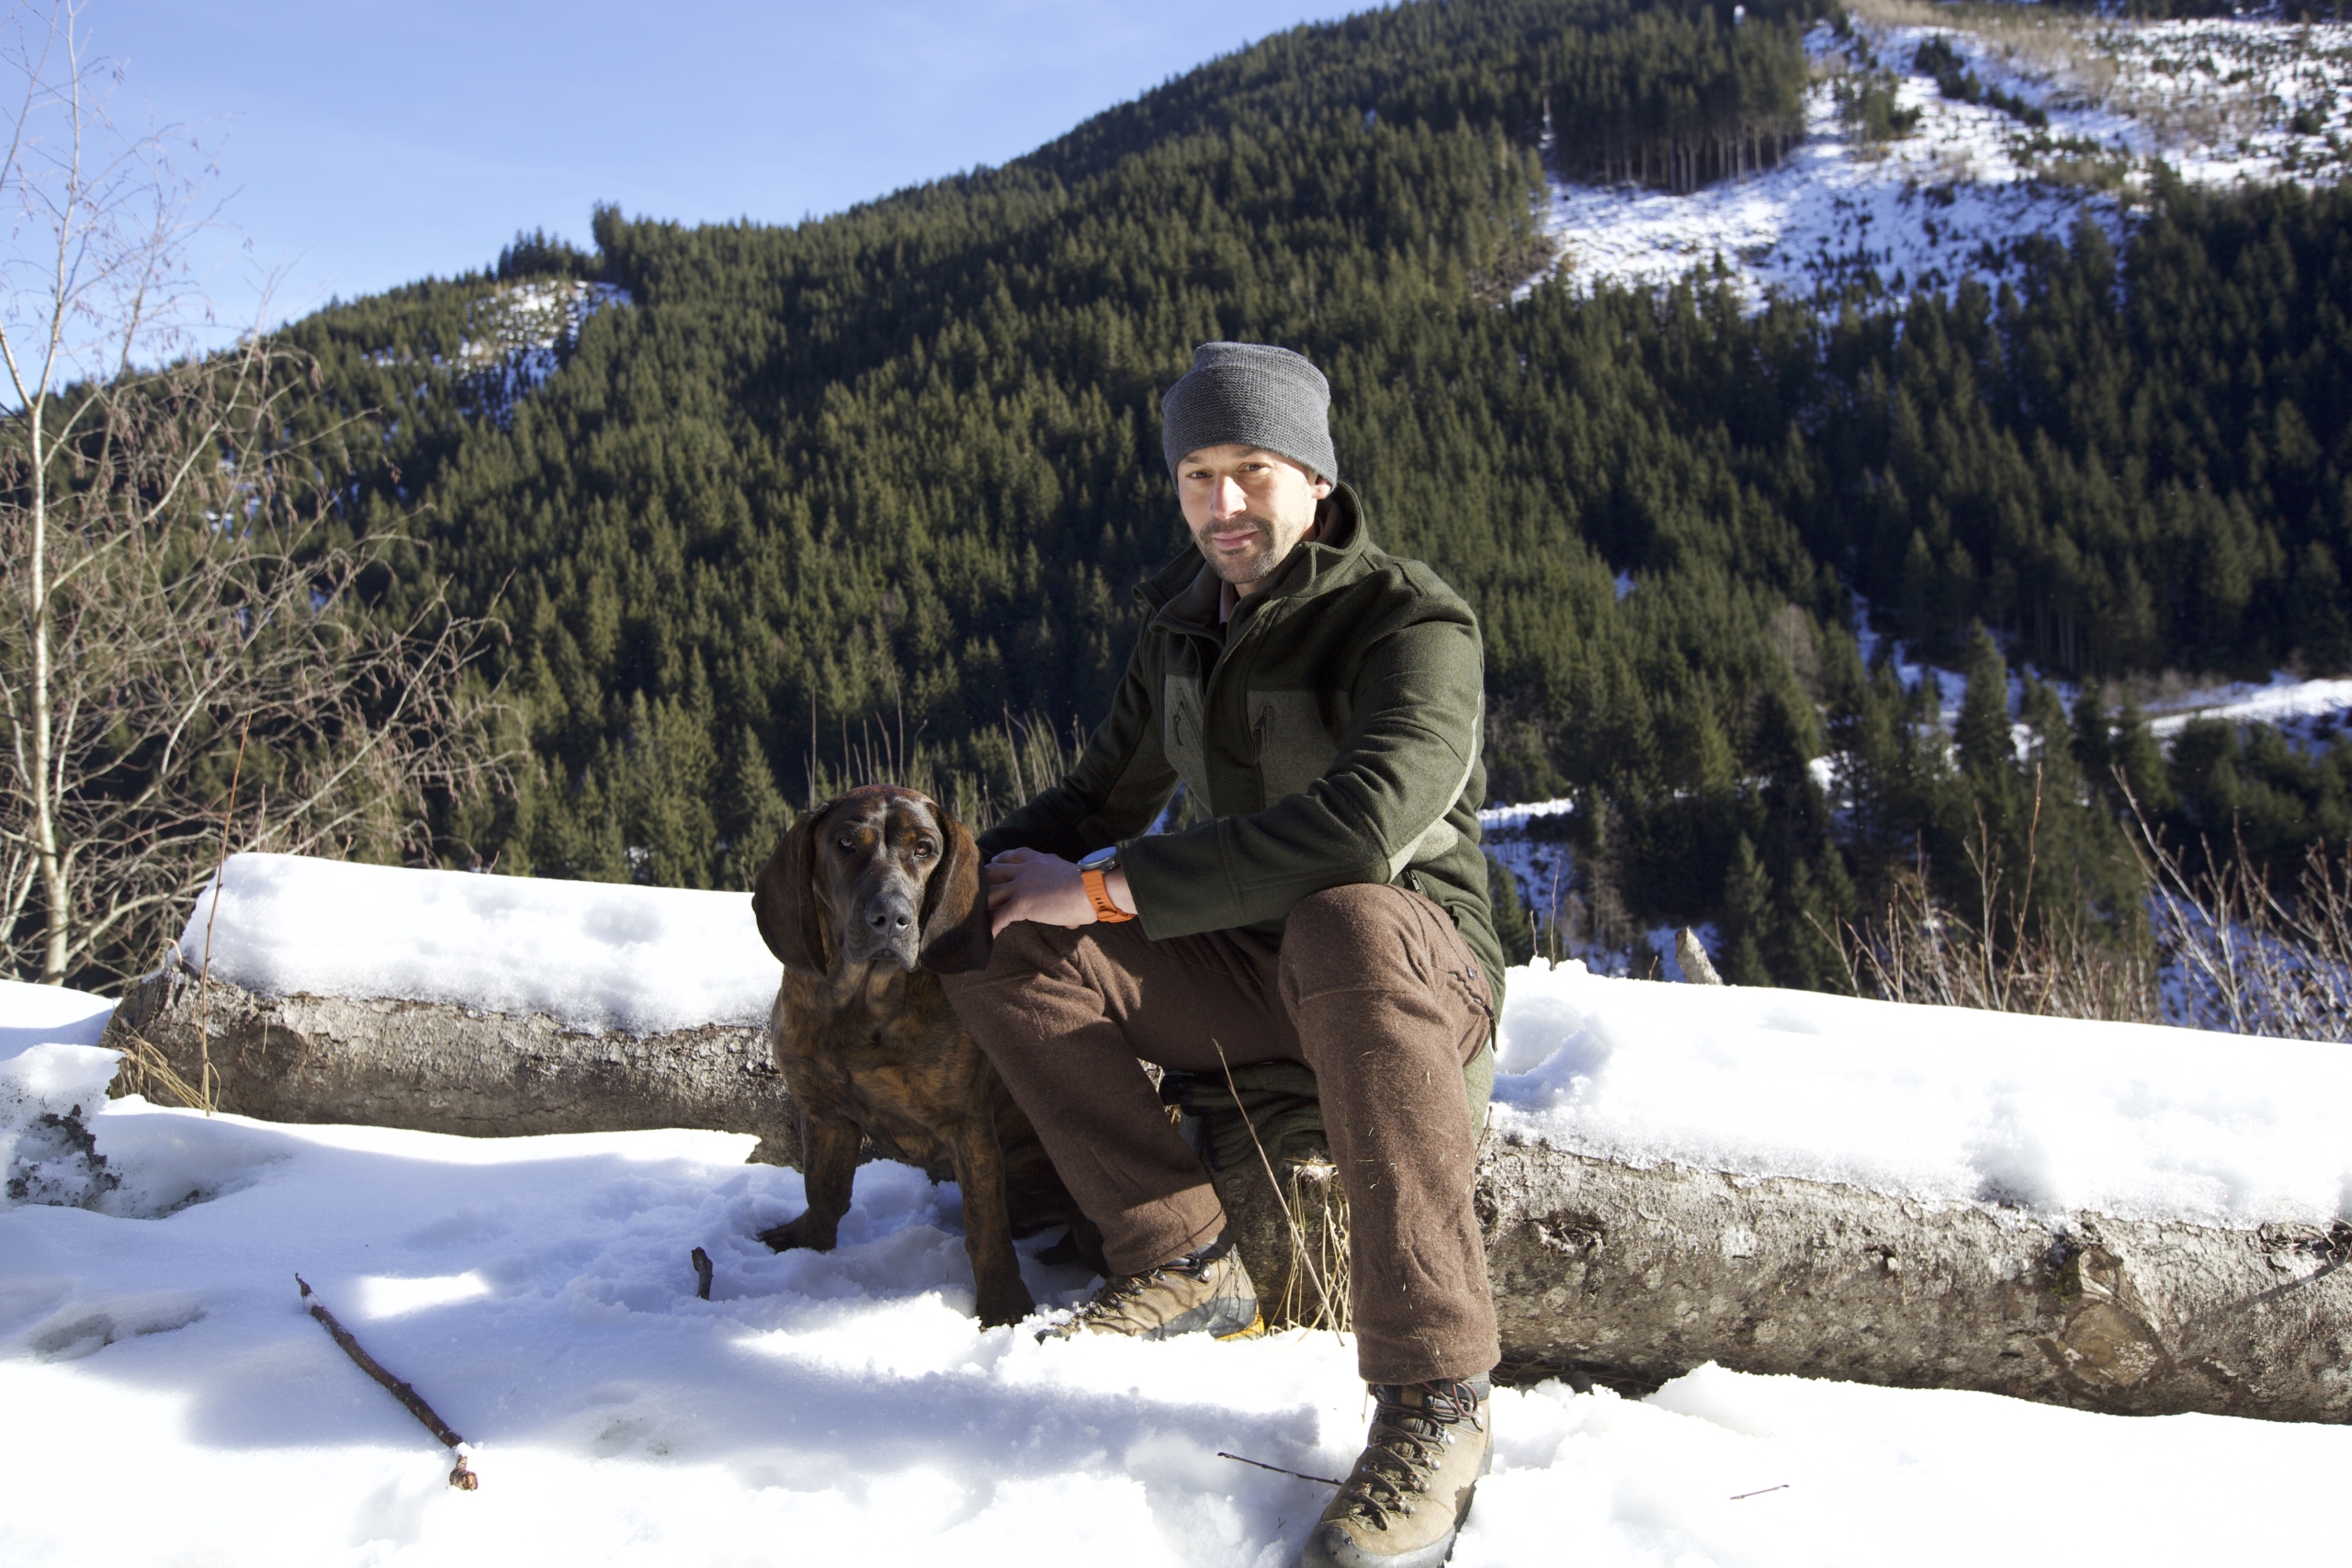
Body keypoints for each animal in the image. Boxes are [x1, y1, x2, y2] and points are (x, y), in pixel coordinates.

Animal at [748, 784, 1086, 1325]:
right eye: (845, 842)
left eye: (925, 849)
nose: (891, 917)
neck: (862, 1005)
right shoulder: (824, 1115)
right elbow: (823, 1189)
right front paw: (809, 1243)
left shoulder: (969, 1127)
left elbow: (985, 1229)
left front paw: (1004, 1307)